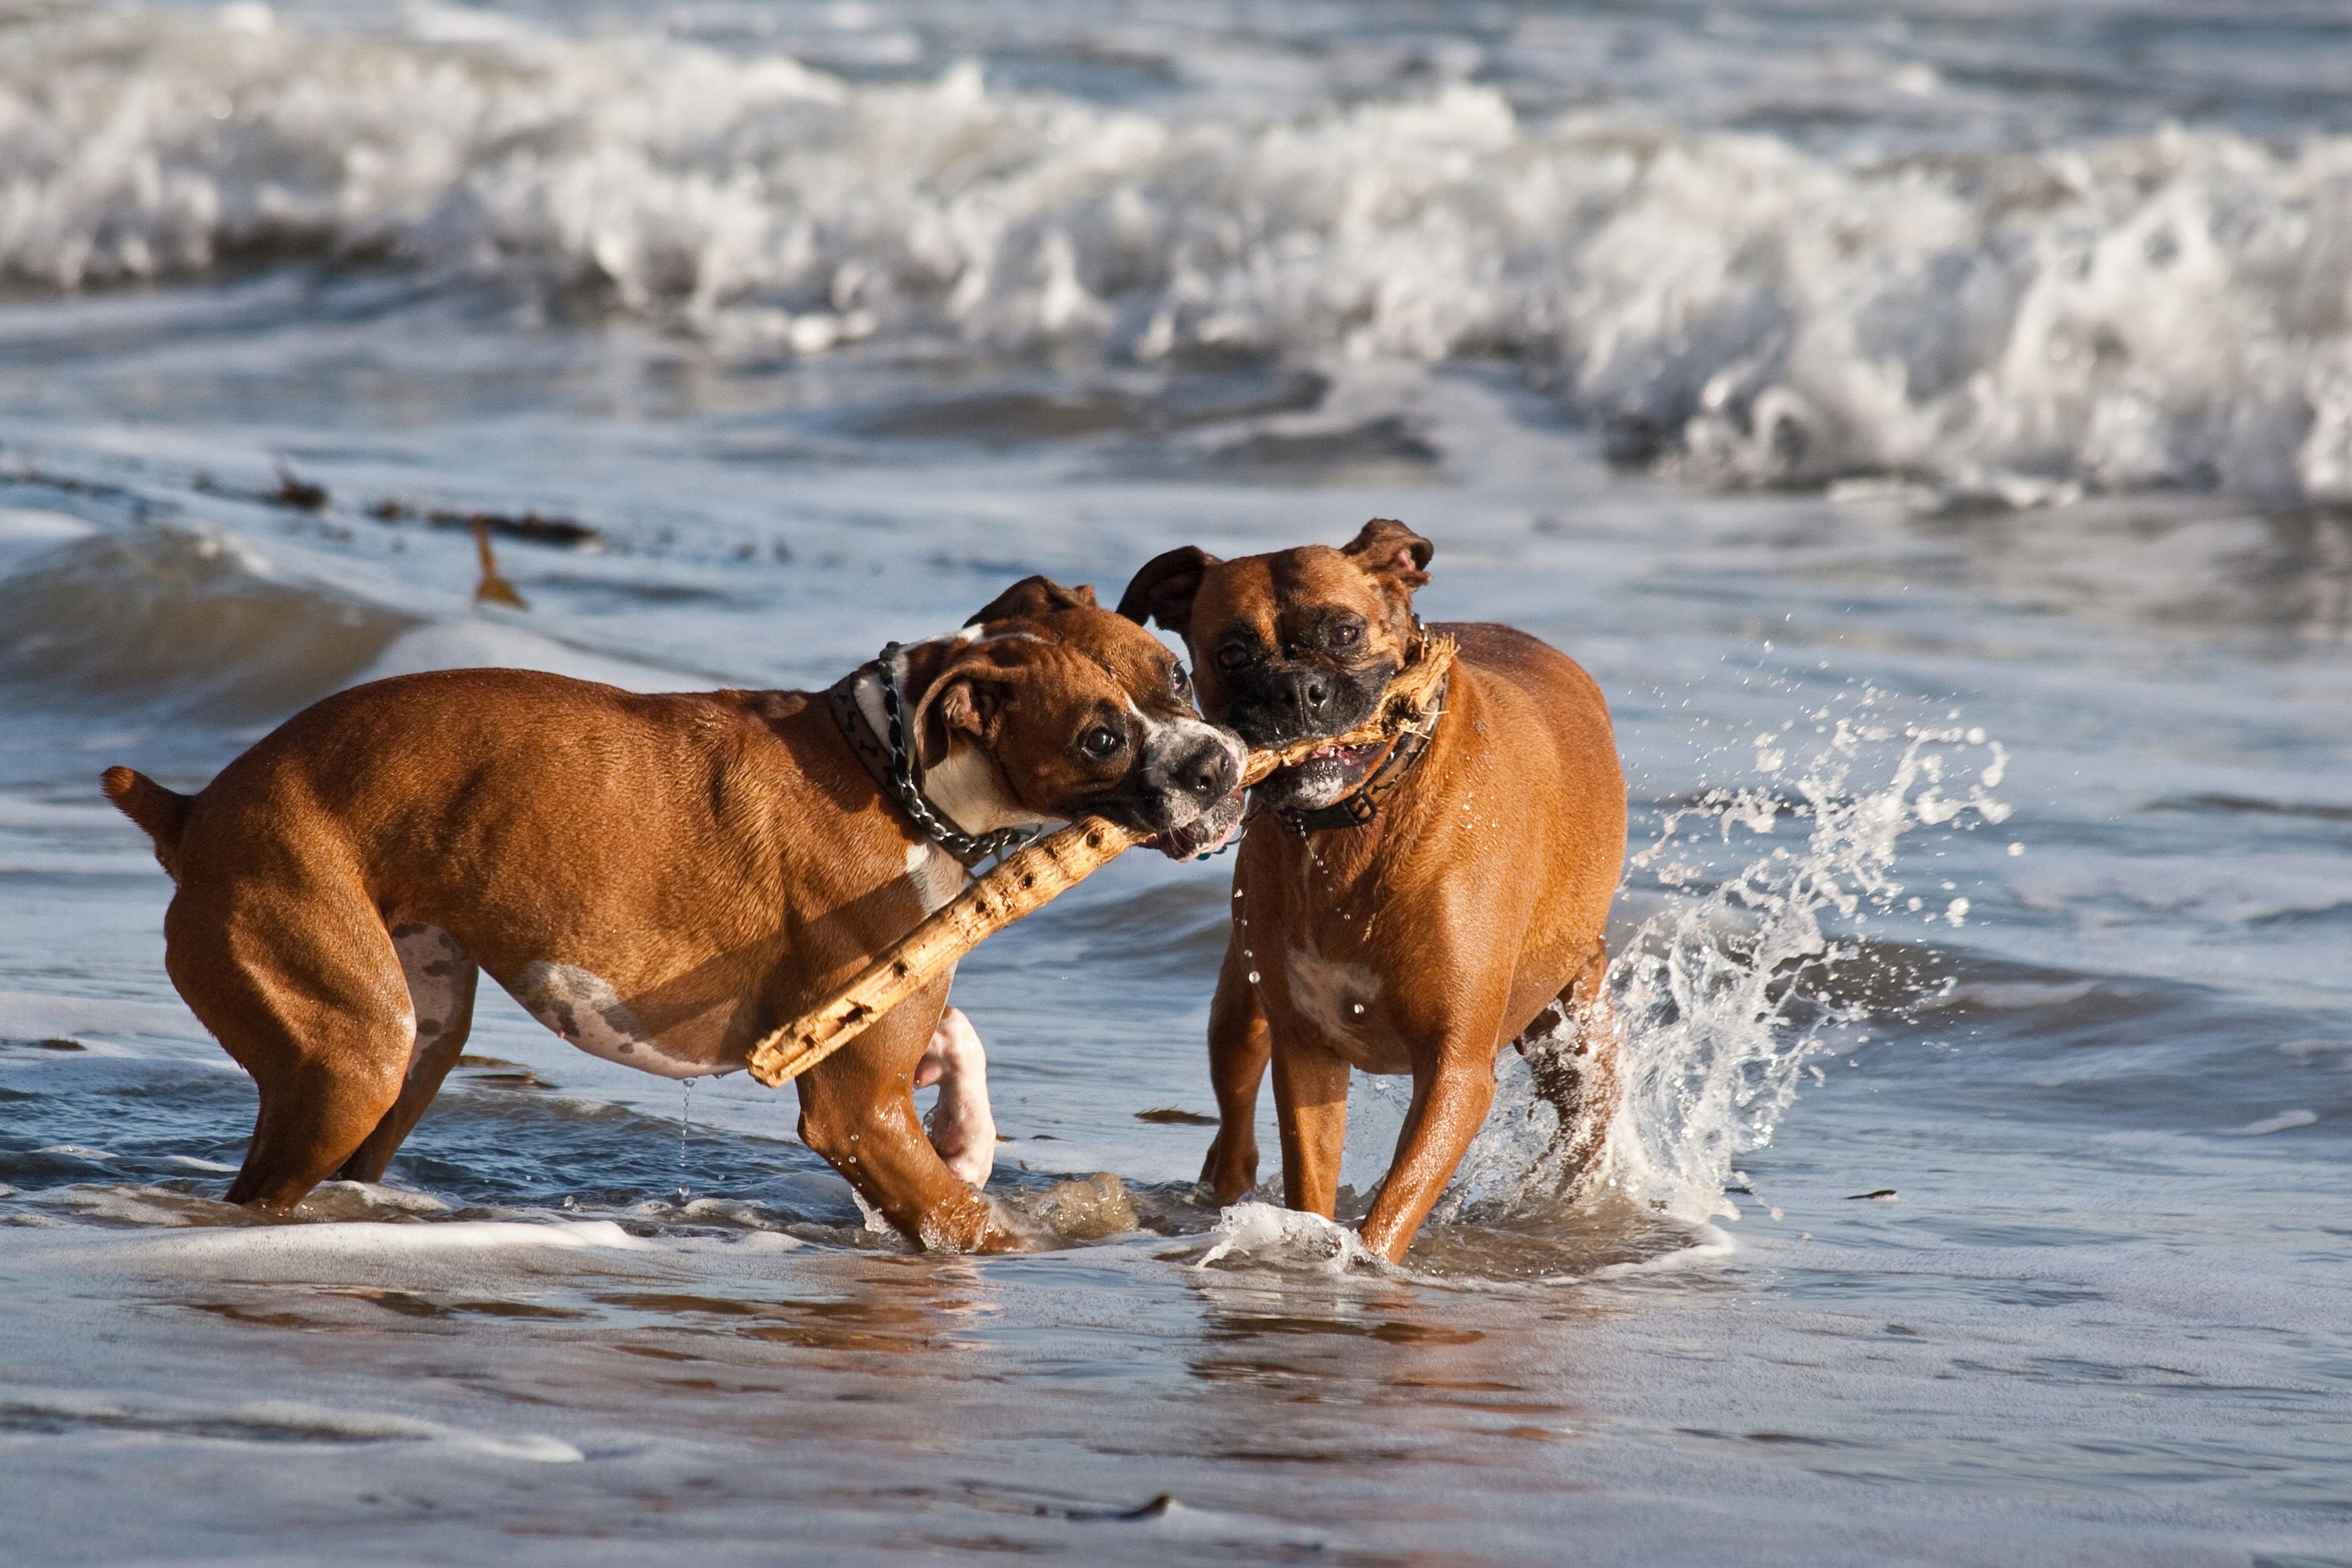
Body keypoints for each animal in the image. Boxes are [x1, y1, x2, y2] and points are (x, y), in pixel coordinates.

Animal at [105, 576, 1251, 1251]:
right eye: (1101, 737)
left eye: (1178, 673)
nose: (1220, 765)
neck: (894, 767)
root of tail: (196, 808)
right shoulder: (853, 1110)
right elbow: (965, 1220)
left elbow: (957, 1050)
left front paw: (968, 1131)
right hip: (351, 1052)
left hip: (415, 1039)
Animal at [1114, 524, 1627, 1260]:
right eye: (1232, 653)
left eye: (1346, 632)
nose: (1296, 690)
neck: (1355, 823)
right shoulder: (1307, 1056)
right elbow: (1310, 1180)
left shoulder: (1455, 1072)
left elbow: (1395, 1204)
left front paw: (1361, 1259)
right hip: (1240, 1014)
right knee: (1235, 1122)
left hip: (1576, 1033)